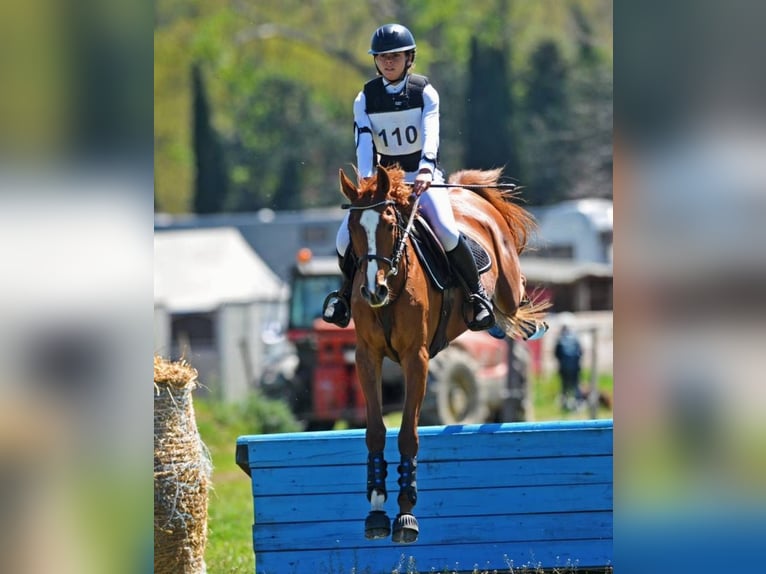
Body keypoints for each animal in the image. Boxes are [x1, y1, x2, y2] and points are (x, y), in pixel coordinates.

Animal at [339, 164, 549, 544]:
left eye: (389, 224)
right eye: (352, 230)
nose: (373, 290)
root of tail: (467, 192)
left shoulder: (416, 358)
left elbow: (408, 434)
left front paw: (406, 514)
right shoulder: (367, 357)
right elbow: (375, 431)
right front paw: (376, 510)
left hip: (508, 283)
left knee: (514, 295)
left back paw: (512, 318)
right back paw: (490, 321)